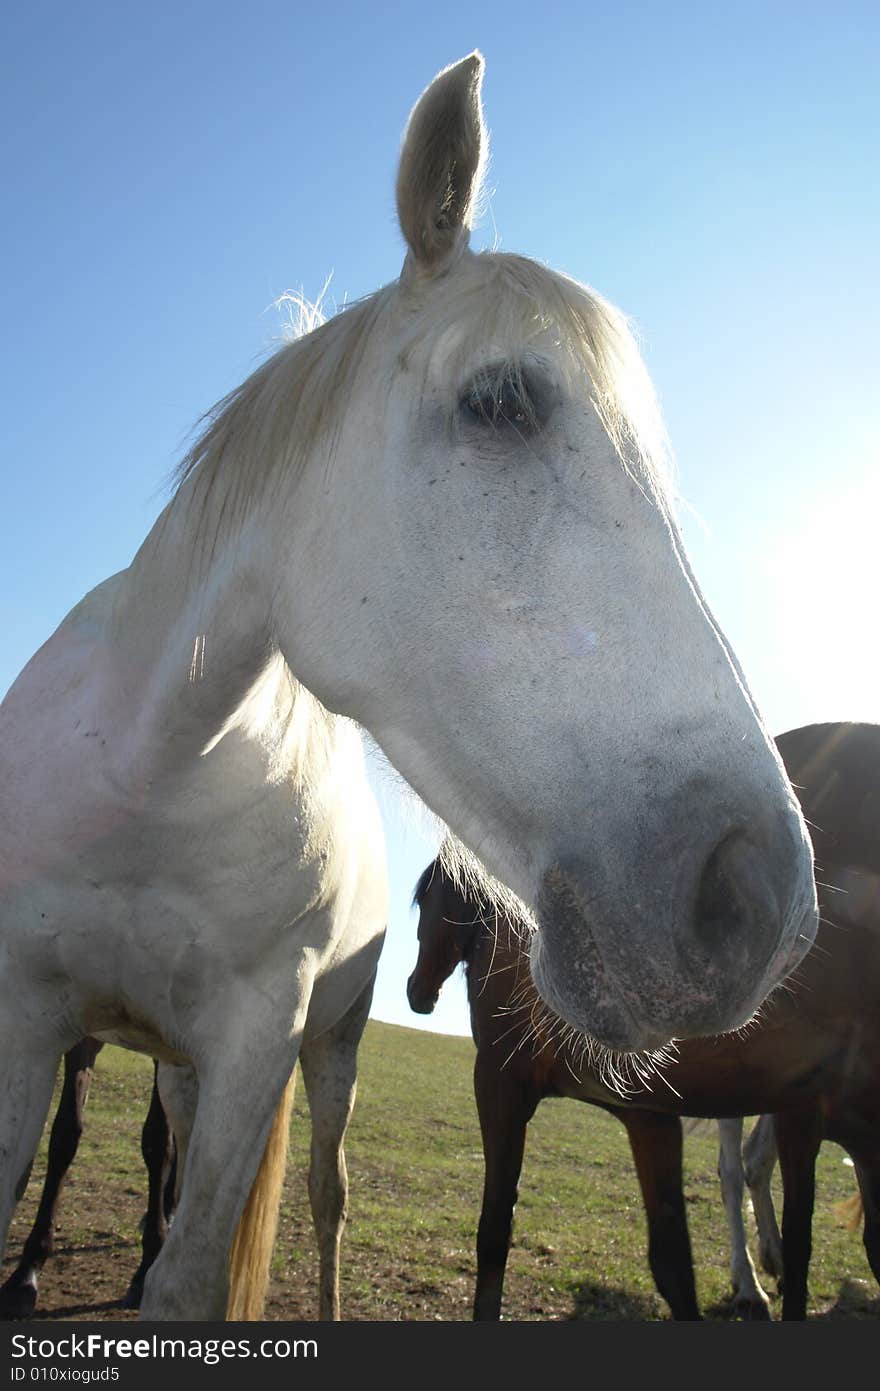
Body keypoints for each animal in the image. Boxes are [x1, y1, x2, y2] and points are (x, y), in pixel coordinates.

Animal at [3, 51, 823, 1313]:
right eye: (498, 401)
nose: (759, 901)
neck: (150, 767)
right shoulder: (24, 1018)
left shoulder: (257, 1041)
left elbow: (195, 1274)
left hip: (320, 1049)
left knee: (326, 1196)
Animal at [408, 723, 878, 1318]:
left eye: (423, 900)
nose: (416, 992)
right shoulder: (648, 1114)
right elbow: (674, 1266)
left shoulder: (498, 1082)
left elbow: (493, 1237)